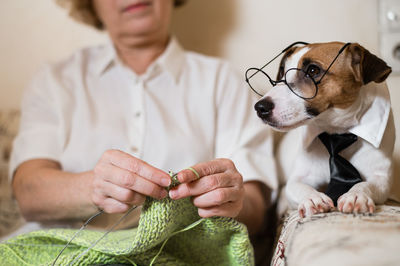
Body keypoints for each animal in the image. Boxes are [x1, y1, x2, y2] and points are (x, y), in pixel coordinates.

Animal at [252, 41, 396, 216]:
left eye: (313, 70)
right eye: (282, 72)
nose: (260, 108)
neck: (337, 130)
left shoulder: (381, 178)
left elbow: (367, 184)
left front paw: (356, 195)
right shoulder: (298, 179)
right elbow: (296, 186)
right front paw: (312, 197)